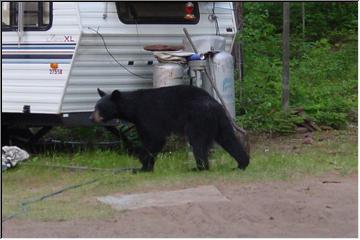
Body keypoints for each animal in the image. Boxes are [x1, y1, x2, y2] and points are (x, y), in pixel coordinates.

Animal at [89, 85, 250, 172]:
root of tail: (214, 104)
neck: (133, 108)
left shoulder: (148, 116)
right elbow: (146, 139)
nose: (91, 118)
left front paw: (144, 166)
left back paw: (198, 167)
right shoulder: (139, 122)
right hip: (220, 121)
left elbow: (155, 138)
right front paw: (144, 166)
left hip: (198, 119)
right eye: (95, 107)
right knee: (228, 139)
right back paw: (241, 164)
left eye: (99, 108)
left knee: (197, 142)